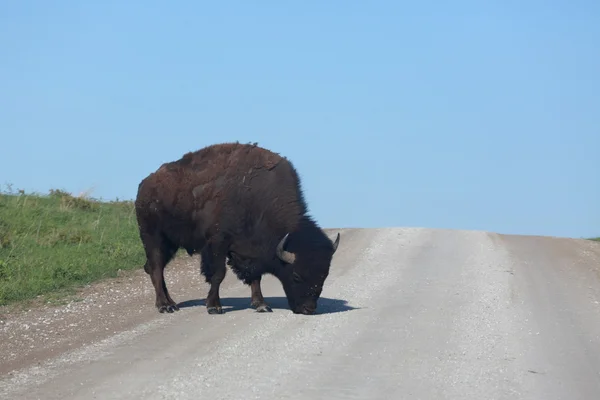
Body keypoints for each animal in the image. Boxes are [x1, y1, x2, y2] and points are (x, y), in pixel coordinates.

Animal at [137, 143, 342, 316]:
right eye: (297, 275)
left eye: (324, 274)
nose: (309, 309)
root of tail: (144, 186)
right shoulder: (217, 244)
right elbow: (218, 274)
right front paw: (214, 306)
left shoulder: (251, 251)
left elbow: (256, 277)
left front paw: (261, 305)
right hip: (153, 238)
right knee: (156, 269)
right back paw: (165, 306)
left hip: (170, 244)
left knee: (155, 269)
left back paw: (171, 303)